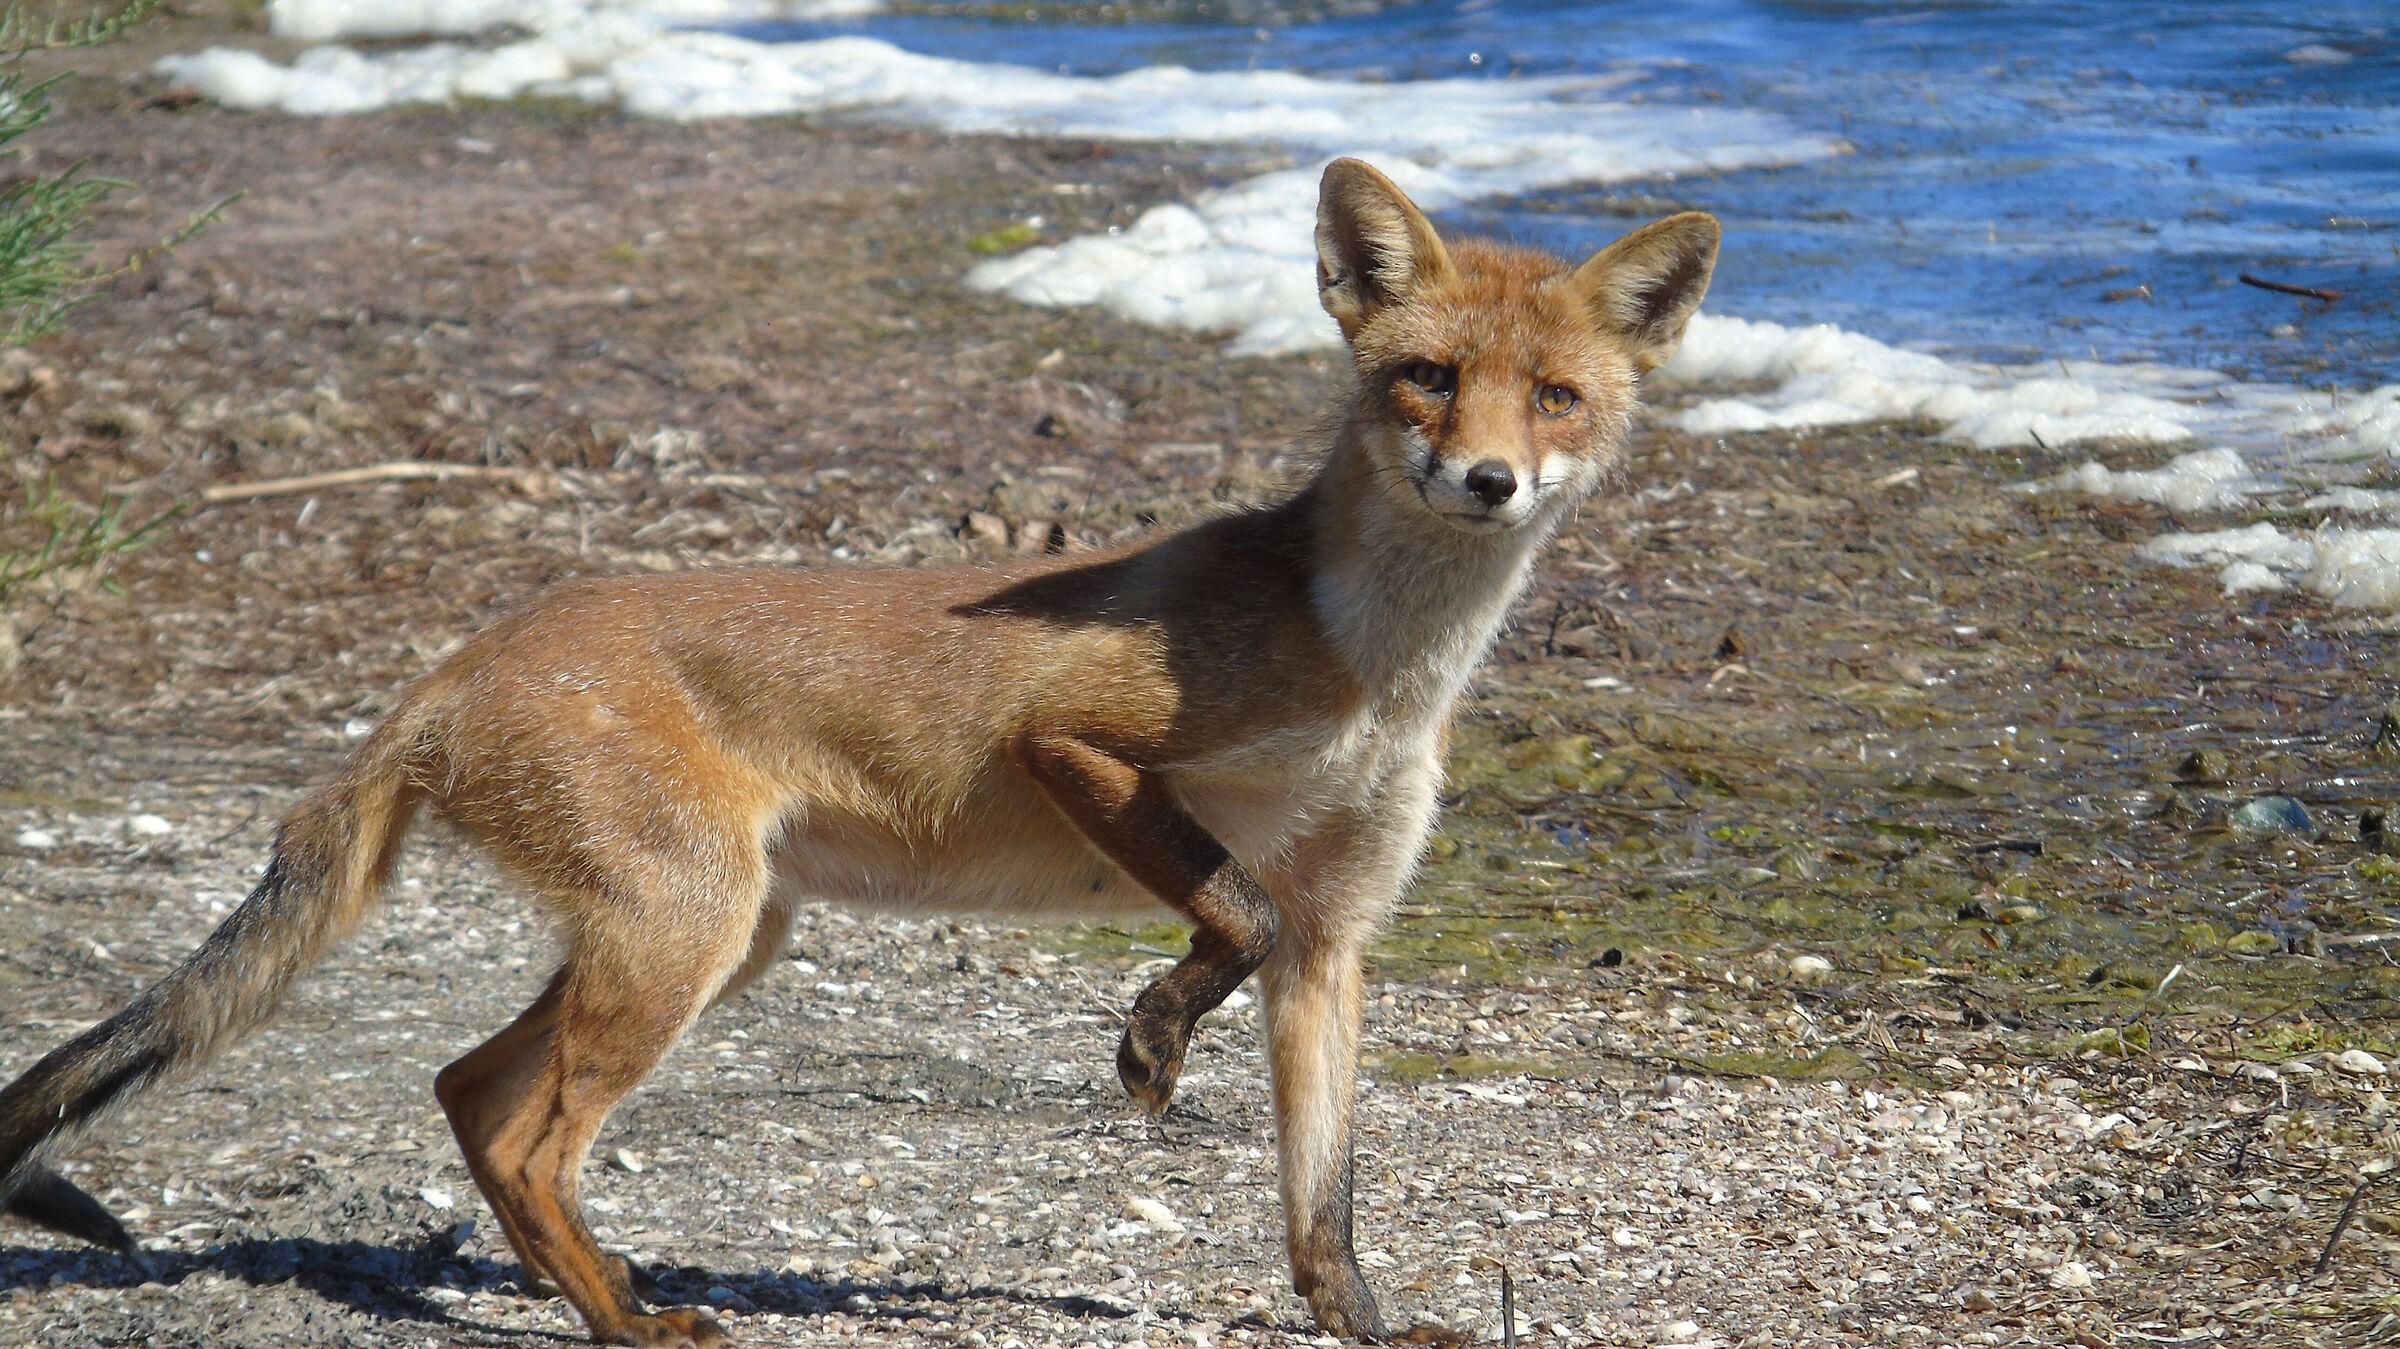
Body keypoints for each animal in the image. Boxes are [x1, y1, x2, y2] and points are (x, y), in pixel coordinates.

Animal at [0, 158, 1717, 1345]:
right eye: (1426, 378)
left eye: (1555, 397)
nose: (1486, 481)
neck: (1373, 663)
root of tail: (447, 668)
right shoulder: (1079, 744)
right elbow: (1226, 910)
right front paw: (1151, 1044)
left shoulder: (1341, 939)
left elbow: (1323, 1196)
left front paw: (1359, 1320)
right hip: (684, 939)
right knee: (539, 1136)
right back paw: (633, 1321)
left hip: (716, 938)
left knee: (470, 1096)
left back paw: (586, 1292)